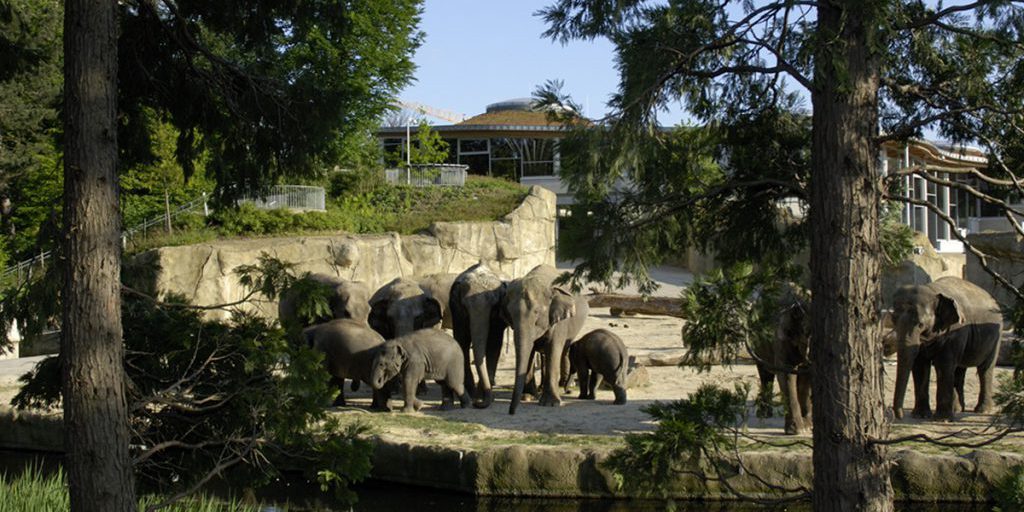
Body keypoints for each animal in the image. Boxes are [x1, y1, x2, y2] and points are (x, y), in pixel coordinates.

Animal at [449, 262, 509, 408]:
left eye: (494, 306)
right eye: (465, 307)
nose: (477, 403)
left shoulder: (498, 318)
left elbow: (494, 344)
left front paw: (483, 397)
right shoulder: (457, 311)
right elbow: (462, 341)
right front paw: (472, 395)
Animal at [502, 264, 590, 414]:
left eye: (537, 312)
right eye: (510, 314)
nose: (511, 412)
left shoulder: (559, 322)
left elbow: (554, 350)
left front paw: (551, 403)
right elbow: (529, 352)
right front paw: (528, 397)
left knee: (564, 350)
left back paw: (564, 387)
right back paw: (541, 388)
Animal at [891, 276, 1002, 421]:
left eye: (920, 324)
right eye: (893, 319)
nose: (899, 416)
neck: (932, 289)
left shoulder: (955, 331)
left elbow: (944, 364)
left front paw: (942, 419)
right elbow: (920, 366)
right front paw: (921, 415)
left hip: (996, 336)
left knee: (985, 368)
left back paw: (982, 410)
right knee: (959, 370)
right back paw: (958, 409)